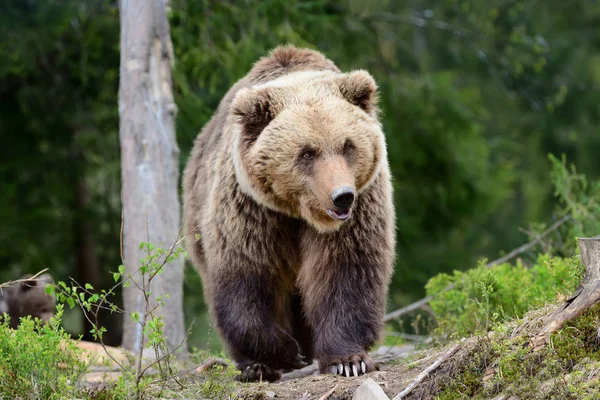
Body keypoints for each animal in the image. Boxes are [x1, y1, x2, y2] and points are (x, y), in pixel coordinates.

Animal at [183, 45, 396, 382]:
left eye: (348, 146)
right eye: (307, 152)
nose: (342, 197)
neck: (299, 212)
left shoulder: (361, 207)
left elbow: (346, 270)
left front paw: (348, 360)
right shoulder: (252, 211)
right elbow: (249, 277)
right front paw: (279, 354)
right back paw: (255, 365)